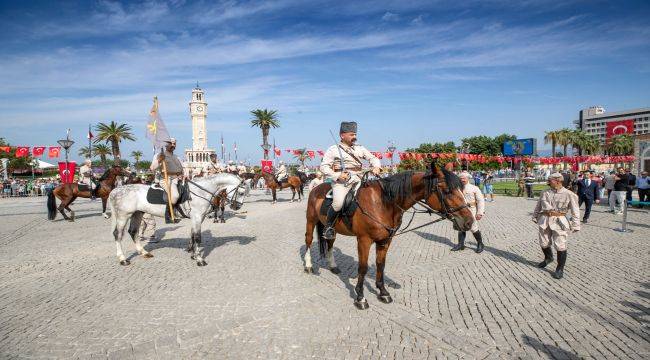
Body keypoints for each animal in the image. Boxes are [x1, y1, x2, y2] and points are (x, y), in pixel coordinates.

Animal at [107, 173, 247, 266]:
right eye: (241, 193)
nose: (237, 206)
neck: (200, 192)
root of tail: (115, 190)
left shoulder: (198, 218)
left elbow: (192, 235)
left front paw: (193, 254)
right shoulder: (197, 217)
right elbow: (197, 237)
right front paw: (199, 259)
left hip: (137, 214)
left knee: (133, 232)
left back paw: (144, 252)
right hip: (123, 216)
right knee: (118, 235)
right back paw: (122, 259)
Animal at [302, 163, 474, 310]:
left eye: (461, 188)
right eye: (446, 191)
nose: (469, 221)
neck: (382, 203)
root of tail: (317, 187)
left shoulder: (385, 240)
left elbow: (380, 264)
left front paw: (383, 292)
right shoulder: (364, 240)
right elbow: (363, 268)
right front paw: (360, 298)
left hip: (331, 229)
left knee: (330, 241)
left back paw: (333, 266)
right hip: (310, 221)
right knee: (309, 240)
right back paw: (309, 266)